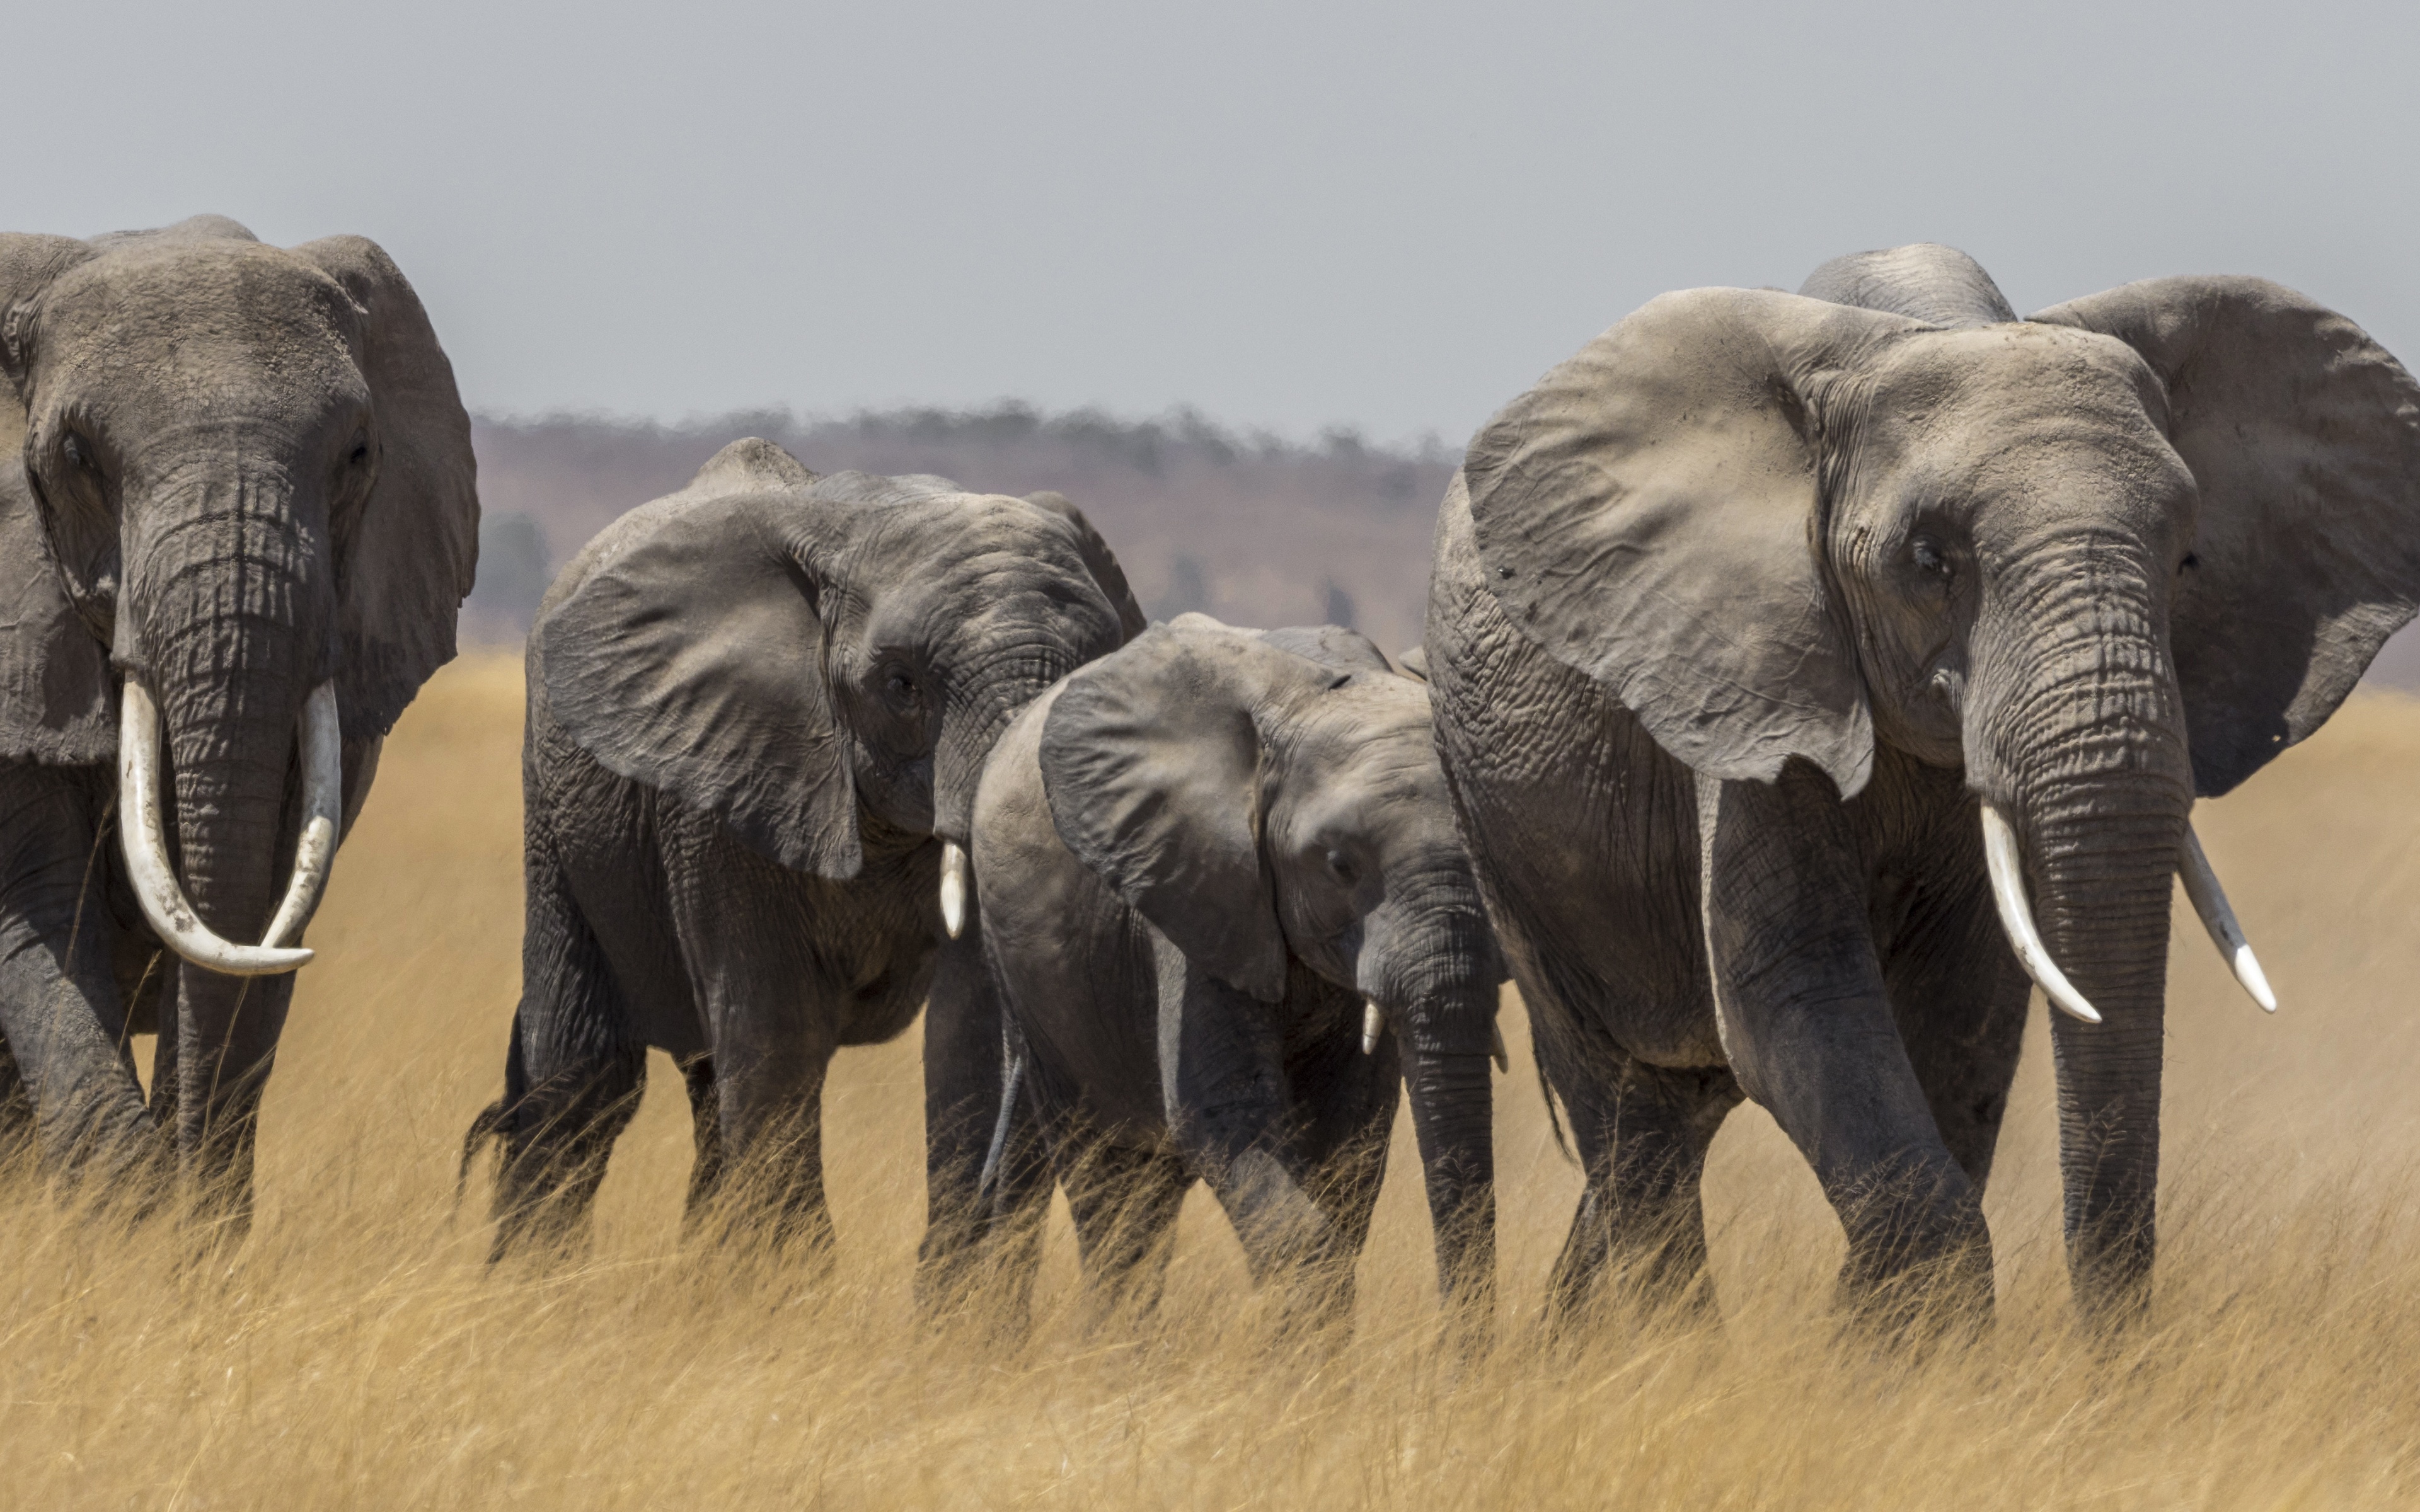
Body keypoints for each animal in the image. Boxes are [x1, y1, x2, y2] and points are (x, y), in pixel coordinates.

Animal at [471, 440, 1151, 1286]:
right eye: (902, 686)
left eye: (1092, 670)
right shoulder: (723, 782)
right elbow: (778, 1031)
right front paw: (785, 1295)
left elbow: (970, 1028)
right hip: (556, 801)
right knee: (586, 1074)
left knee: (702, 1088)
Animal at [968, 619, 1500, 1326]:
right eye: (1339, 865)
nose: (1453, 1347)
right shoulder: (1195, 881)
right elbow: (1222, 1110)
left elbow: (1351, 1126)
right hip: (1029, 983)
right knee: (1110, 1188)